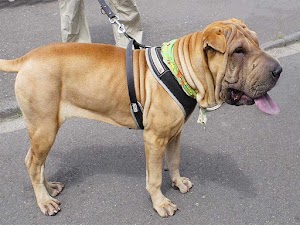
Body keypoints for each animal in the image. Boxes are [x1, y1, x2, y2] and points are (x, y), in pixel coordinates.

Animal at [0, 19, 282, 218]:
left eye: (256, 43)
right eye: (238, 51)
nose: (278, 70)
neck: (182, 68)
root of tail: (26, 59)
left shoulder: (175, 133)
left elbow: (175, 160)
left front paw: (178, 182)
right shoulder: (154, 139)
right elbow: (154, 177)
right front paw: (161, 203)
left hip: (43, 130)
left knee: (37, 164)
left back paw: (49, 188)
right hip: (44, 128)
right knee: (32, 164)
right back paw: (44, 200)